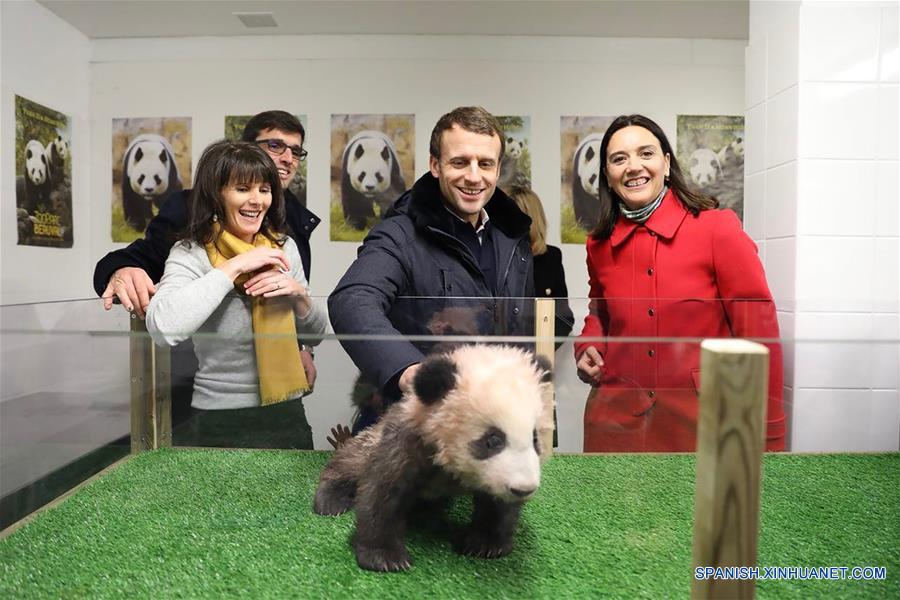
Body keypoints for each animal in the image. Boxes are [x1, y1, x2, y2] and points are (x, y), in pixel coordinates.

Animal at [316, 342, 556, 572]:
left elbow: (498, 505)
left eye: (535, 438)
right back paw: (330, 500)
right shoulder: (409, 440)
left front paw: (486, 543)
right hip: (372, 437)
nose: (523, 489)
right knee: (352, 459)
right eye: (493, 440)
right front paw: (384, 556)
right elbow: (382, 490)